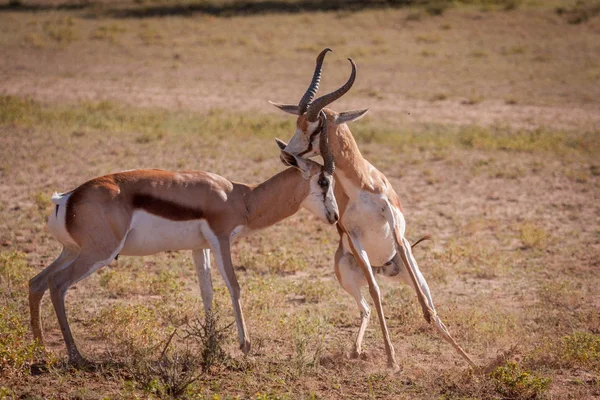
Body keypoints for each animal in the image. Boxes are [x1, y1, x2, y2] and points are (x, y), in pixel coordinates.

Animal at [30, 145, 338, 364]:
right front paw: (244, 345)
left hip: (71, 251)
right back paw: (76, 356)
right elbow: (234, 286)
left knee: (37, 282)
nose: (335, 216)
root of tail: (66, 199)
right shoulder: (220, 239)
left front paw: (213, 348)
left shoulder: (200, 247)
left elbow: (207, 291)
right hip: (97, 254)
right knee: (57, 284)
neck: (241, 198)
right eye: (324, 181)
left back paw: (41, 350)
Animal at [270, 50, 476, 372]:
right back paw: (357, 350)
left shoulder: (396, 230)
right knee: (365, 306)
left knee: (433, 308)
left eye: (316, 126)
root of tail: (385, 266)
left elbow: (426, 307)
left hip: (412, 270)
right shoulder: (355, 239)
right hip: (347, 274)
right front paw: (392, 359)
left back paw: (472, 361)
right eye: (297, 122)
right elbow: (377, 294)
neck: (360, 186)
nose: (286, 154)